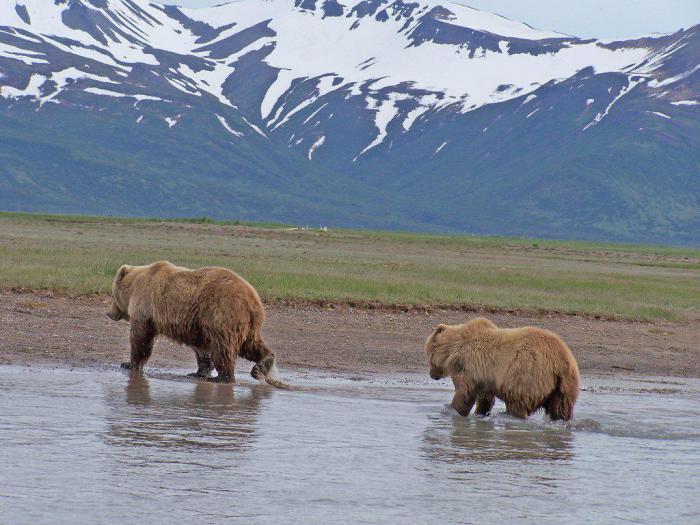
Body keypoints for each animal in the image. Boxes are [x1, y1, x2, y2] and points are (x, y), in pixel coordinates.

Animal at [106, 260, 276, 382]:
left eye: (112, 294)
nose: (109, 313)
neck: (134, 287)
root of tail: (253, 301)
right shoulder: (196, 324)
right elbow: (202, 349)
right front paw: (199, 372)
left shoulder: (146, 307)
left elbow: (141, 338)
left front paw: (129, 364)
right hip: (246, 325)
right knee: (250, 345)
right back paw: (264, 363)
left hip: (222, 314)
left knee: (223, 349)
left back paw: (222, 377)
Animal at [426, 316, 580, 422]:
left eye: (428, 356)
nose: (432, 375)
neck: (452, 350)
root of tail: (561, 360)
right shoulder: (484, 376)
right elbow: (485, 398)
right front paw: (480, 413)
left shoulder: (468, 365)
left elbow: (464, 392)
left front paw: (451, 410)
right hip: (564, 386)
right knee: (561, 409)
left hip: (526, 372)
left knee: (517, 402)